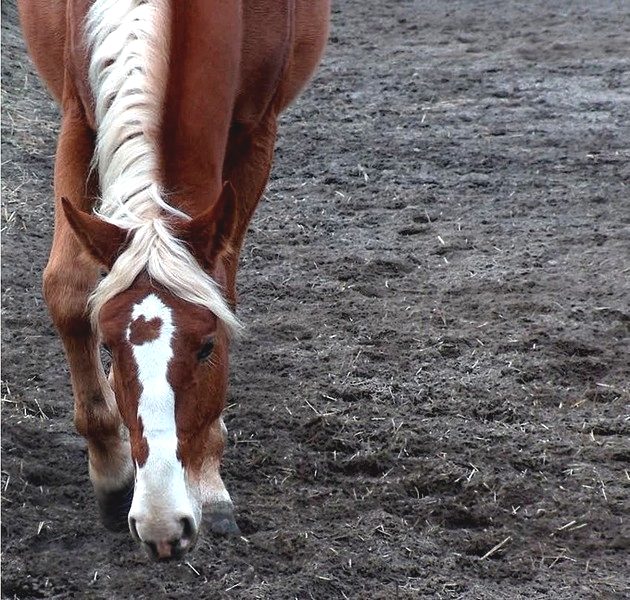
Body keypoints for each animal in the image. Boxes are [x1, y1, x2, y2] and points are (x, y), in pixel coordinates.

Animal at [16, 1, 330, 564]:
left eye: (209, 347)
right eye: (109, 347)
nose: (162, 522)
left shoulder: (255, 135)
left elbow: (224, 289)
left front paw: (206, 478)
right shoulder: (78, 115)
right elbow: (68, 290)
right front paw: (112, 471)